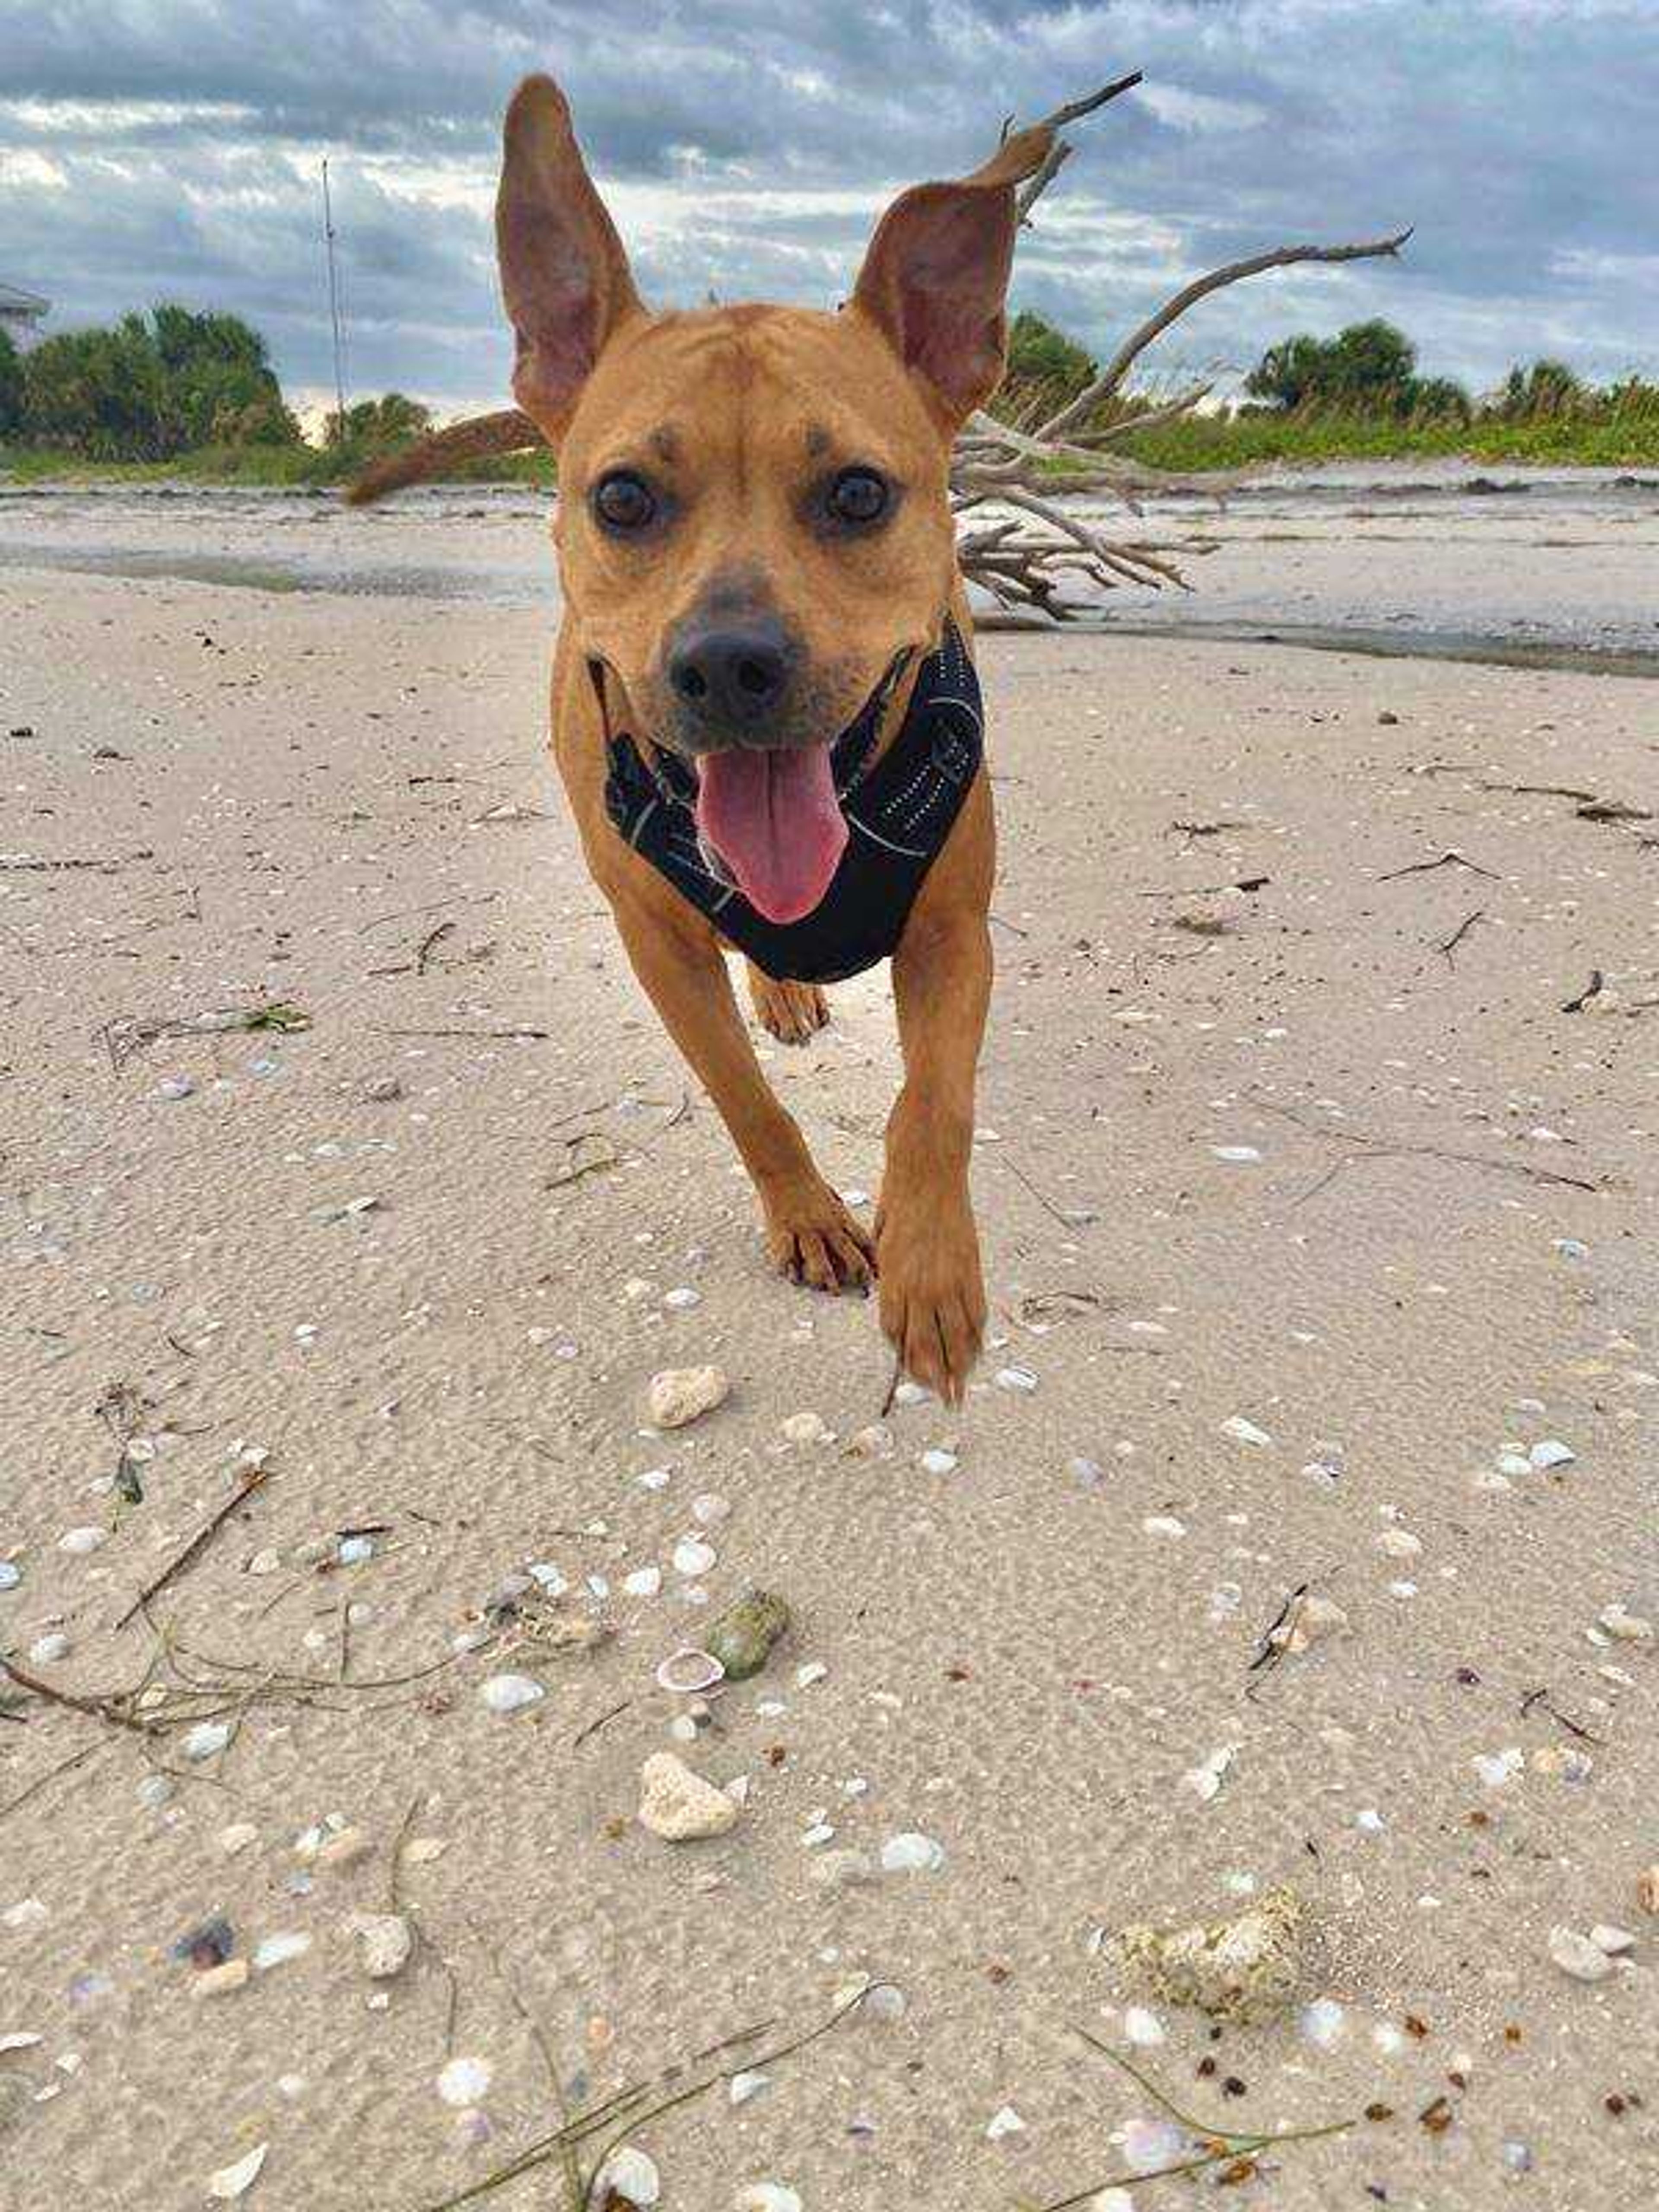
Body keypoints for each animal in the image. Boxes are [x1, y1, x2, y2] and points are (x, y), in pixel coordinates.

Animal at [385, 82, 1053, 1398]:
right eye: (622, 497)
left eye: (858, 493)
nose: (728, 665)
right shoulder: (657, 948)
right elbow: (744, 1098)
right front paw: (810, 1215)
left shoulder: (953, 931)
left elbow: (935, 1101)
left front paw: (930, 1261)